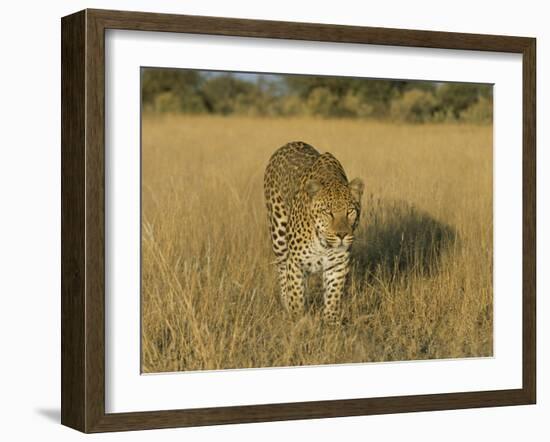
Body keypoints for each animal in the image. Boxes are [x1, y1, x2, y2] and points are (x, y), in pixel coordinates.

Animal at [264, 142, 364, 324]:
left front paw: (331, 323)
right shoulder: (296, 263)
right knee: (282, 270)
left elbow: (333, 296)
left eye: (350, 211)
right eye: (328, 212)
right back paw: (285, 302)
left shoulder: (337, 263)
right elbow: (296, 295)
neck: (323, 242)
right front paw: (297, 320)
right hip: (279, 236)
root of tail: (289, 143)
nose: (341, 235)